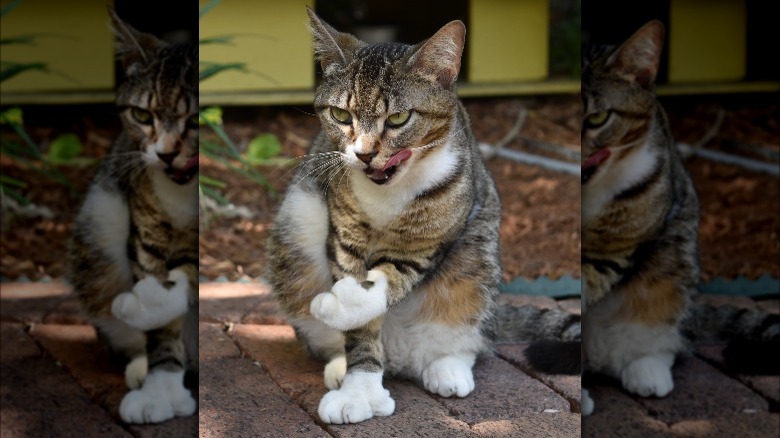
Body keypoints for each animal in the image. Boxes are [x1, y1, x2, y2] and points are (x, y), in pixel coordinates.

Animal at [68, 8, 198, 422]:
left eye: (196, 120)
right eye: (142, 115)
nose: (166, 154)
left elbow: (179, 287)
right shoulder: (146, 231)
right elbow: (162, 323)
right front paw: (159, 387)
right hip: (100, 220)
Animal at [266, 7, 502, 424]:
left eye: (398, 119)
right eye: (340, 114)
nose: (363, 154)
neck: (387, 194)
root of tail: (399, 355)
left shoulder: (424, 245)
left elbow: (384, 285)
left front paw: (346, 305)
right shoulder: (344, 238)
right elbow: (360, 325)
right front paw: (357, 389)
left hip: (477, 260)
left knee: (469, 329)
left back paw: (448, 368)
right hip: (295, 226)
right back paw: (340, 366)